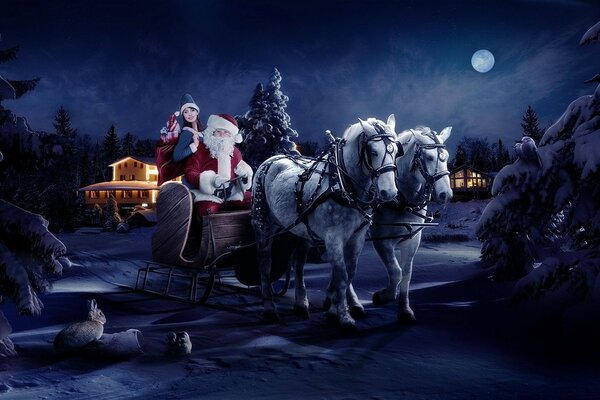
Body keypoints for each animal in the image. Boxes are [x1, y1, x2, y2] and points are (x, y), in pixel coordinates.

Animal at [251, 114, 400, 330]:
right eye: (373, 152)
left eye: (396, 151)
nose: (389, 192)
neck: (344, 185)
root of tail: (271, 160)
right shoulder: (333, 237)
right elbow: (342, 275)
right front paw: (343, 317)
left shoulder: (357, 237)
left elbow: (349, 273)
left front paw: (333, 309)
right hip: (263, 224)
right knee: (264, 262)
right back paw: (269, 308)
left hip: (302, 228)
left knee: (299, 263)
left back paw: (301, 304)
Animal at [368, 126, 452, 324]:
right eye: (428, 157)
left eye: (446, 157)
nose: (446, 194)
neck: (402, 199)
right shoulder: (381, 240)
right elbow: (395, 272)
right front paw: (385, 295)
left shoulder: (411, 241)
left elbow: (406, 274)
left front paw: (404, 310)